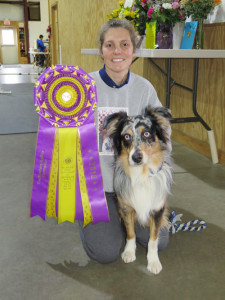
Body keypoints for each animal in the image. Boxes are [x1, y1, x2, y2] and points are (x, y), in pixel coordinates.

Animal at [103, 105, 173, 274]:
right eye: (127, 136)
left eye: (146, 133)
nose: (136, 157)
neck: (142, 174)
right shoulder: (126, 207)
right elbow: (130, 233)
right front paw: (129, 252)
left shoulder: (157, 209)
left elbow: (153, 239)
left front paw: (153, 262)